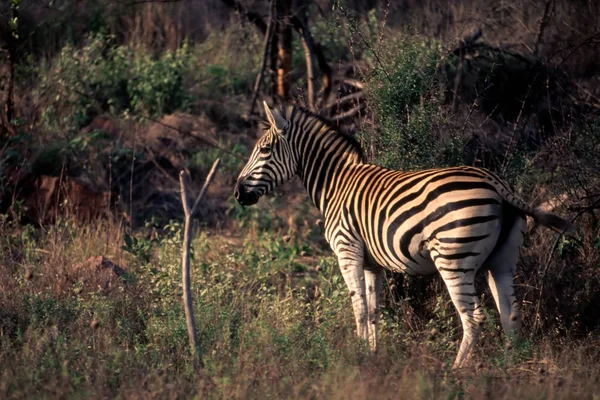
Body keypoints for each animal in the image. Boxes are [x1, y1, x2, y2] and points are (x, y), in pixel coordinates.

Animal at [232, 103, 576, 368]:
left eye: (264, 150)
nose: (237, 193)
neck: (336, 183)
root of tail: (496, 183)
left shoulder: (347, 250)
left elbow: (358, 308)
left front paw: (357, 357)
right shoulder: (371, 262)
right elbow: (372, 310)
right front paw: (371, 356)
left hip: (454, 258)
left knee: (474, 317)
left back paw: (457, 370)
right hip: (502, 258)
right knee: (511, 314)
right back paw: (508, 366)